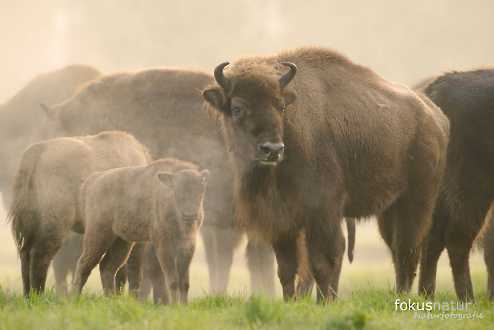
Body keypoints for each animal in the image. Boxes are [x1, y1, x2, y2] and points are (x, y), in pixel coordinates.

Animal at [72, 158, 207, 304]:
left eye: (201, 191)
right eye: (177, 191)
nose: (190, 215)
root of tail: (92, 181)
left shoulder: (188, 245)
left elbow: (185, 282)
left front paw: (183, 305)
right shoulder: (163, 244)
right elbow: (173, 280)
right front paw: (174, 305)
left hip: (122, 241)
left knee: (107, 266)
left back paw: (111, 299)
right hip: (98, 235)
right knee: (84, 263)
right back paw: (74, 298)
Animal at [203, 45, 450, 302]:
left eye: (281, 106)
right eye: (237, 108)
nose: (273, 149)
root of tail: (435, 117)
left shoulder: (323, 213)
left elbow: (323, 262)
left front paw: (325, 302)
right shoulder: (282, 221)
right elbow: (286, 268)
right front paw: (290, 301)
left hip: (416, 202)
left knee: (407, 250)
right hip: (390, 209)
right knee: (398, 249)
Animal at [418, 69, 494, 302]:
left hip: (443, 193)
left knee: (432, 239)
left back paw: (427, 295)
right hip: (471, 189)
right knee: (457, 240)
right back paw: (468, 298)